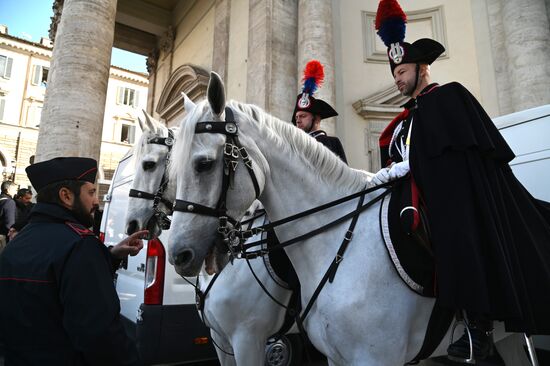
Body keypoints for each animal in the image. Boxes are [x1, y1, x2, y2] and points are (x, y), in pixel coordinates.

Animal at [167, 72, 536, 366]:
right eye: (172, 170)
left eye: (203, 164)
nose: (178, 255)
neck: (337, 242)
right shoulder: (228, 344)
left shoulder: (251, 339)